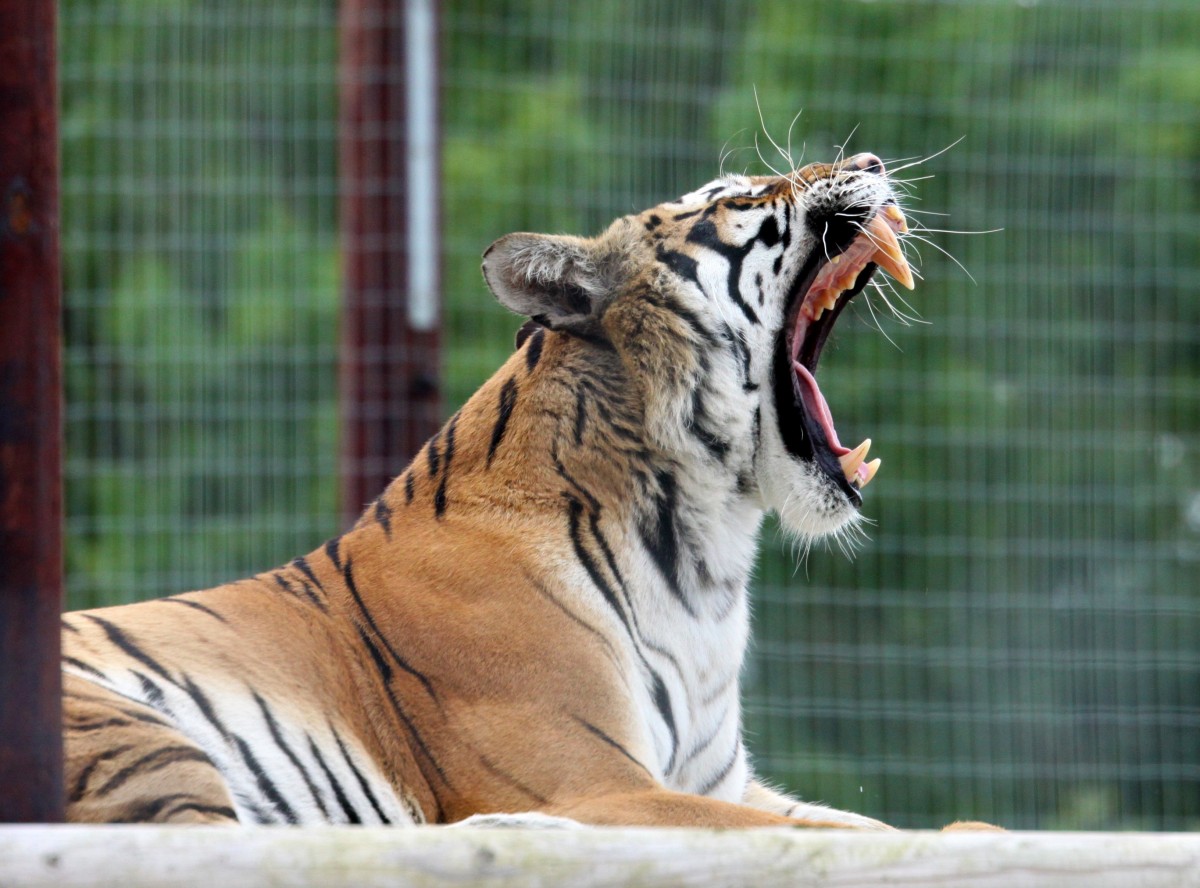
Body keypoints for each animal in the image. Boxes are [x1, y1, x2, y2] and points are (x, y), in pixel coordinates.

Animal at [60, 149, 988, 830]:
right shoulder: (602, 783)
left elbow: (890, 830)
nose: (871, 157)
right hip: (143, 741)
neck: (708, 547)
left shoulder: (720, 779)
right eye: (741, 196)